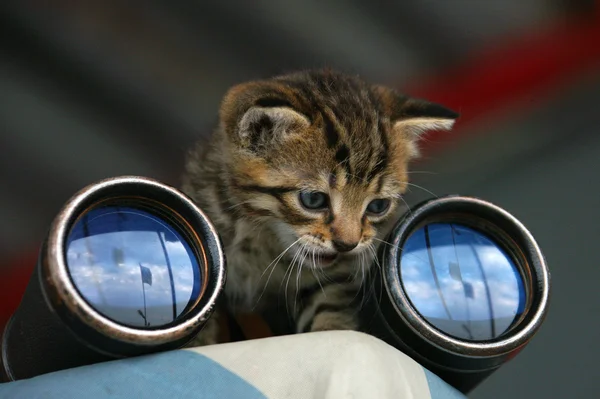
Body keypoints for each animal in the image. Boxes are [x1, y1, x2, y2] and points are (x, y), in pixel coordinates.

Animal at [180, 69, 458, 346]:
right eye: (313, 200)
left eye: (378, 205)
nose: (347, 244)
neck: (266, 244)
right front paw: (199, 343)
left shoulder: (335, 274)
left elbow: (330, 306)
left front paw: (332, 332)